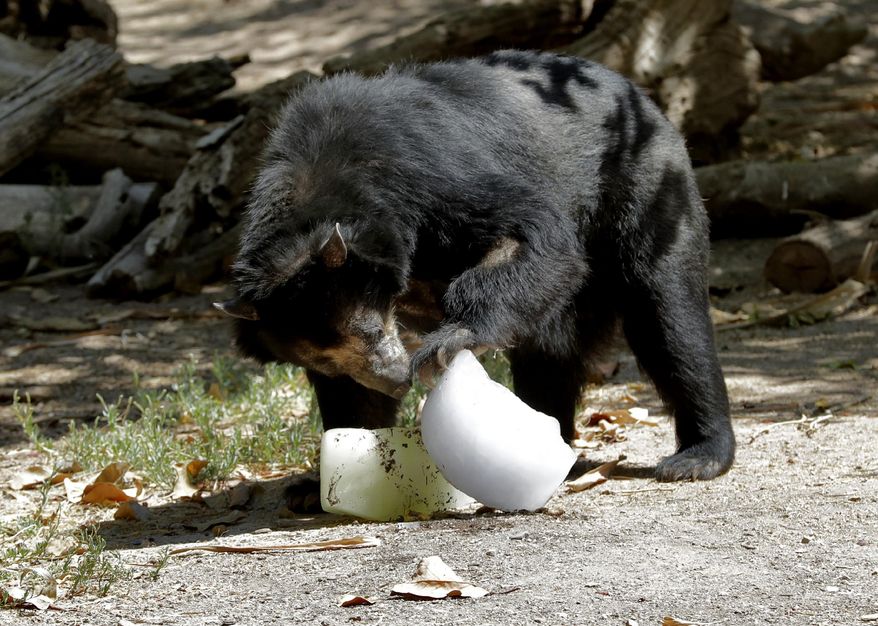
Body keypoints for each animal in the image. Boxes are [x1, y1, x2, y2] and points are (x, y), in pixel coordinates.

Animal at [216, 49, 735, 482]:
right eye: (323, 359)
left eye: (371, 331)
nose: (396, 381)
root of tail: (642, 99)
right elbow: (346, 396)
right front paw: (322, 476)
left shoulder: (429, 178)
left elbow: (532, 232)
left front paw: (447, 344)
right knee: (551, 349)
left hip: (646, 193)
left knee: (668, 320)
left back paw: (698, 457)